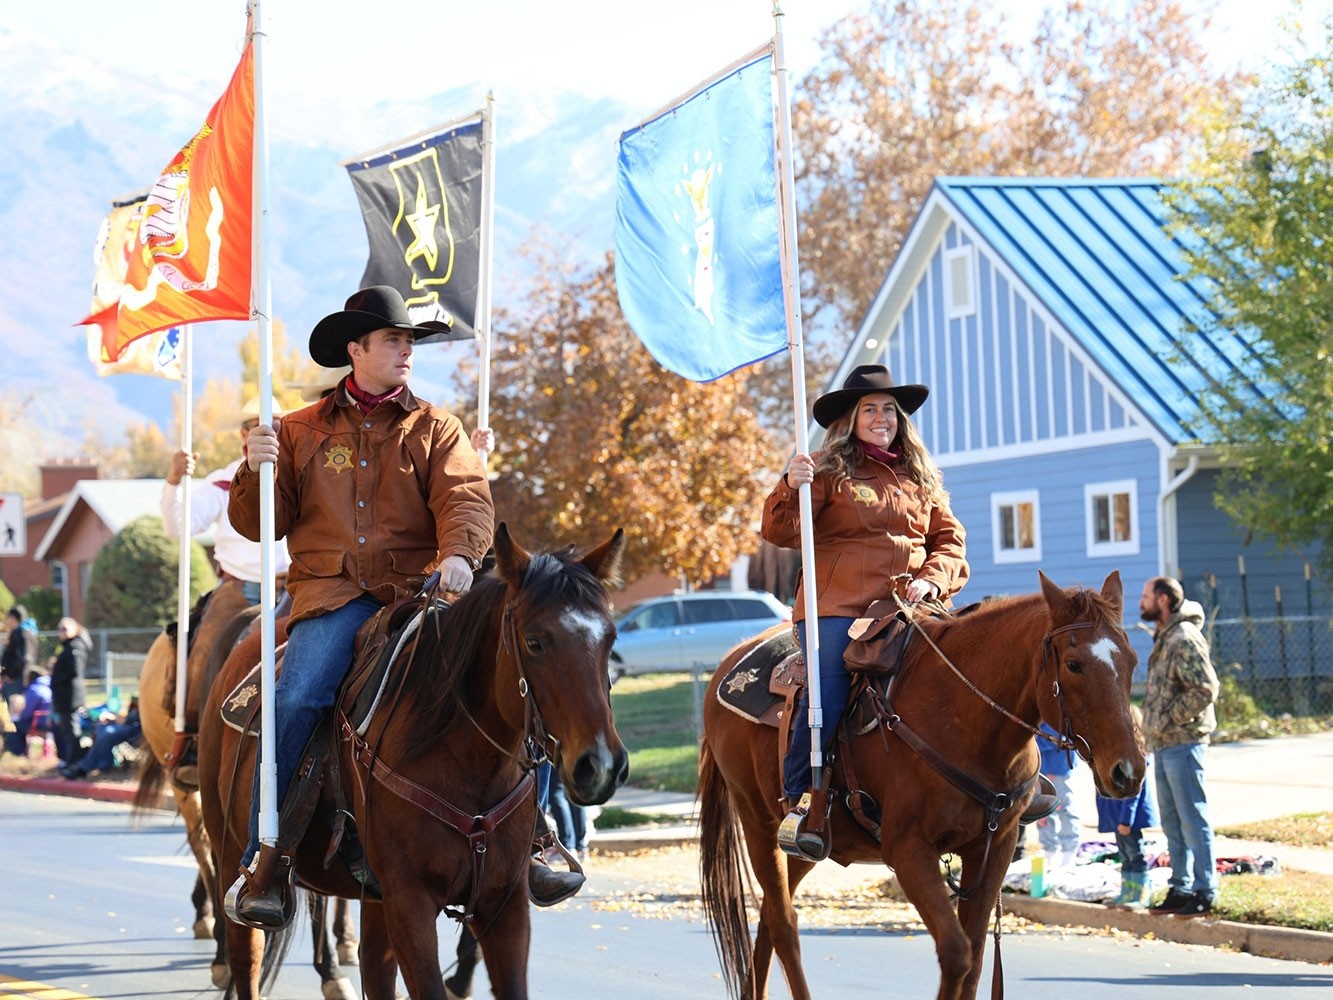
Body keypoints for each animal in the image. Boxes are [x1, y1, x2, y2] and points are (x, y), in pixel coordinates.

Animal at [197, 525, 629, 1000]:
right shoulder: (410, 903)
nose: (600, 765)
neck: (465, 761)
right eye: (534, 642)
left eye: (610, 639)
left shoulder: (504, 903)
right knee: (247, 961)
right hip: (232, 859)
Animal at [698, 570, 1146, 1000]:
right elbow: (957, 952)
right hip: (758, 824)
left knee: (770, 918)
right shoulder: (908, 851)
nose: (1128, 771)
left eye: (1132, 661)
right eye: (1073, 664)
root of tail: (728, 664)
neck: (969, 723)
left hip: (808, 846)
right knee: (784, 922)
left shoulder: (995, 848)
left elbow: (975, 958)